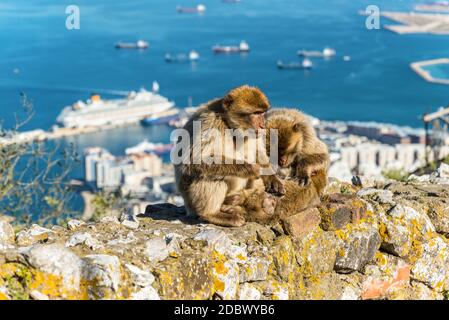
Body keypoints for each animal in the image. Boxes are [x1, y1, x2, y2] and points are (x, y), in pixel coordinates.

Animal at [174, 85, 284, 228]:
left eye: (262, 113)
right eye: (255, 113)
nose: (263, 125)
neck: (229, 125)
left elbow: (257, 151)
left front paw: (272, 178)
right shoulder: (209, 124)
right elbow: (193, 162)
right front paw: (249, 168)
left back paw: (238, 200)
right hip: (191, 201)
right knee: (213, 176)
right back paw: (212, 214)